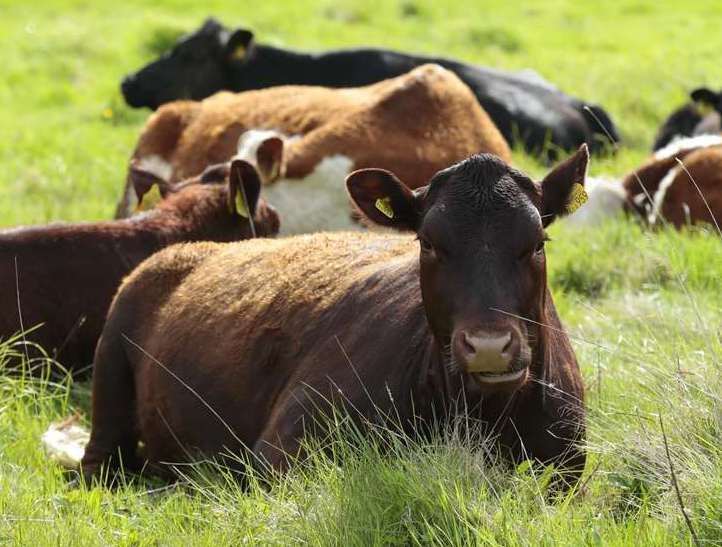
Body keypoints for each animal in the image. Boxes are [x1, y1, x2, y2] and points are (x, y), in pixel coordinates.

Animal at [79, 146, 588, 488]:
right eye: (428, 242)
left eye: (537, 242)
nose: (488, 345)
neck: (483, 416)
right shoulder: (281, 451)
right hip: (109, 376)